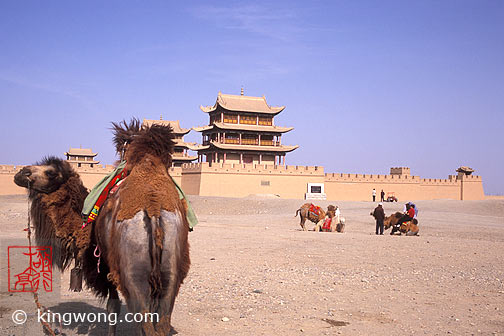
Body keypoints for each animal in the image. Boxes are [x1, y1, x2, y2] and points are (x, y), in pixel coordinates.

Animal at [14, 121, 191, 336]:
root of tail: (154, 209)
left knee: (144, 322)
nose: (21, 173)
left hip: (134, 273)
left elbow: (112, 307)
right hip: (171, 269)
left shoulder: (106, 265)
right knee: (162, 319)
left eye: (51, 172)